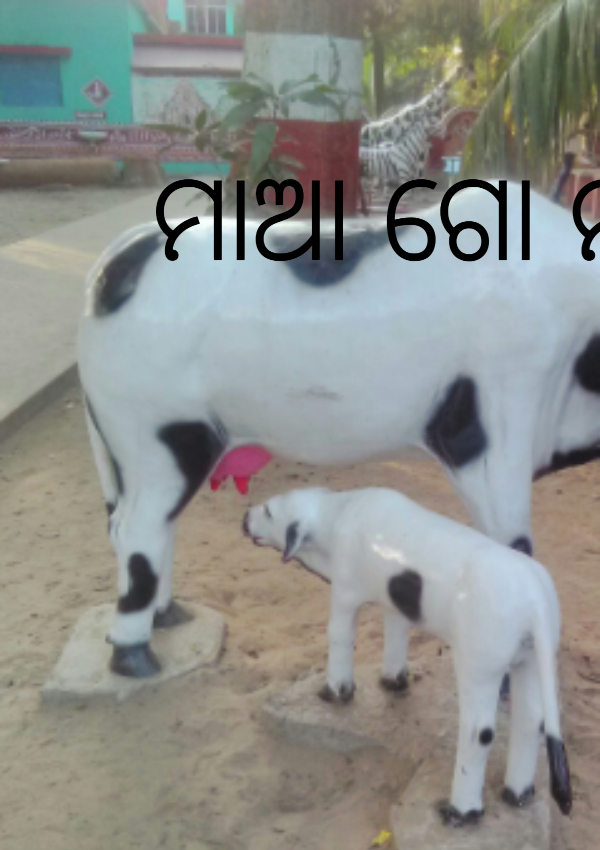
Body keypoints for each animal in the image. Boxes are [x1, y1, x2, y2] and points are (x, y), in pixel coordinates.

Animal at [77, 181, 600, 679]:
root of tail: (116, 259)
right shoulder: (494, 414)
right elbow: (513, 545)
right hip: (159, 432)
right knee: (136, 528)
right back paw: (135, 655)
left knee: (140, 525)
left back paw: (168, 616)